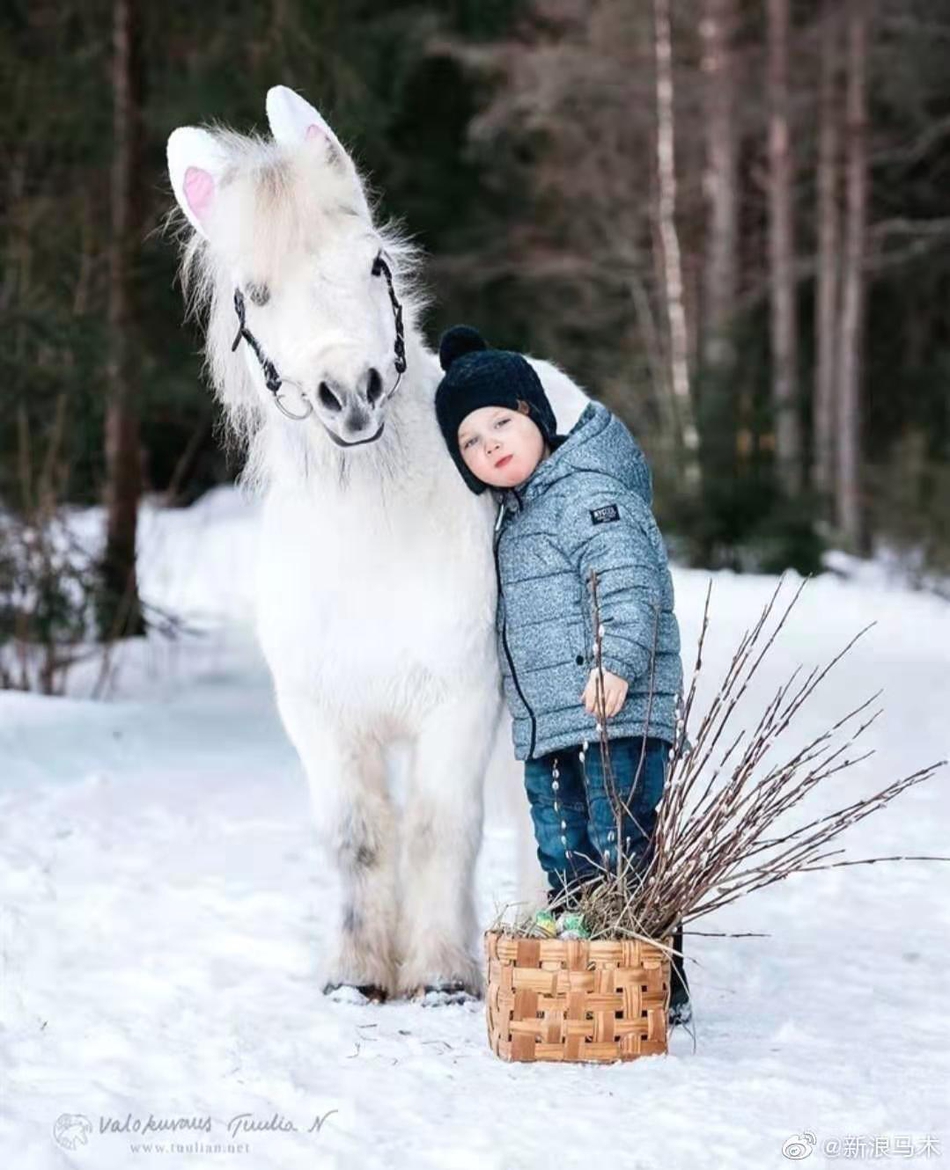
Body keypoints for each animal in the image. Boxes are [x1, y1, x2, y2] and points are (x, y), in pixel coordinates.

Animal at [167, 86, 589, 1001]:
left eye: (374, 266)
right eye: (256, 294)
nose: (349, 393)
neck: (372, 543)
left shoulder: (458, 708)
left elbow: (438, 830)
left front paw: (439, 975)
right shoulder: (323, 720)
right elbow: (359, 838)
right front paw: (358, 974)